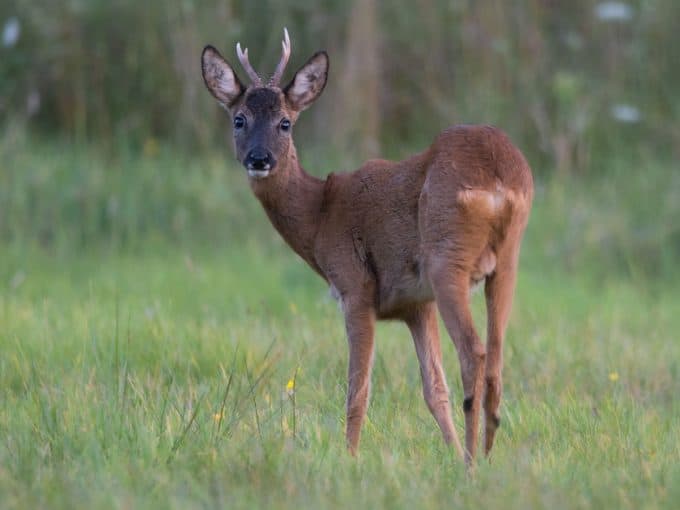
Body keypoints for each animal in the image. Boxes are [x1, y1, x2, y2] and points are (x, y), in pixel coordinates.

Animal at [201, 28, 533, 465]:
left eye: (285, 122)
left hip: (447, 258)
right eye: (239, 119)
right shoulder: (416, 304)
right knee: (495, 355)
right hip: (507, 259)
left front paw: (350, 459)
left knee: (473, 352)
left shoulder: (354, 287)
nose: (259, 158)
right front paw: (447, 451)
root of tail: (498, 176)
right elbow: (434, 389)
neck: (320, 216)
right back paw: (486, 455)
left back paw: (472, 461)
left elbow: (357, 390)